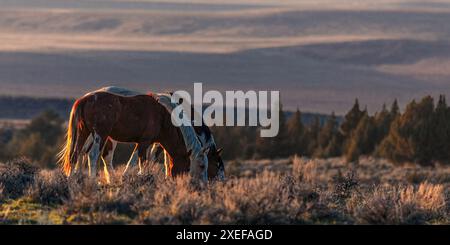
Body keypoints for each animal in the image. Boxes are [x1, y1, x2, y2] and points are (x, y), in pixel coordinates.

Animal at [57, 87, 209, 181]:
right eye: (202, 166)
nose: (201, 186)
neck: (163, 117)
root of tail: (84, 99)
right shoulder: (144, 142)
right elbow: (138, 162)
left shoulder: (147, 143)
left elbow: (144, 161)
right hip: (100, 135)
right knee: (92, 155)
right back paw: (92, 180)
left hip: (84, 133)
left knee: (75, 155)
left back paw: (72, 178)